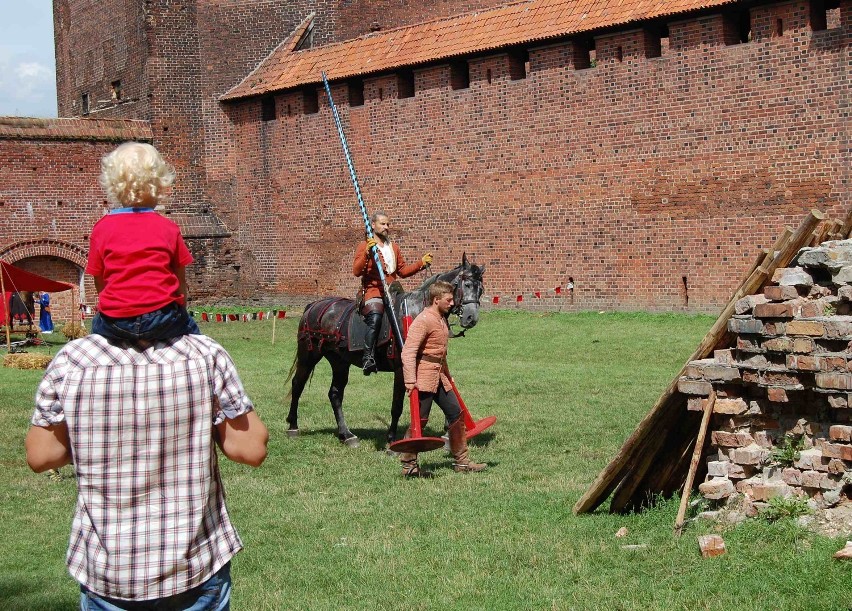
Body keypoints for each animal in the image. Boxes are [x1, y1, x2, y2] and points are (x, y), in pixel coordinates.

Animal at [286, 255, 486, 450]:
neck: (419, 314)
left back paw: (347, 435)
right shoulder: (401, 369)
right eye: (467, 285)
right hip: (308, 356)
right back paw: (293, 426)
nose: (471, 318)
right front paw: (391, 439)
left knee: (335, 394)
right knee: (297, 385)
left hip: (340, 362)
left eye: (481, 290)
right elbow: (397, 406)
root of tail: (313, 306)